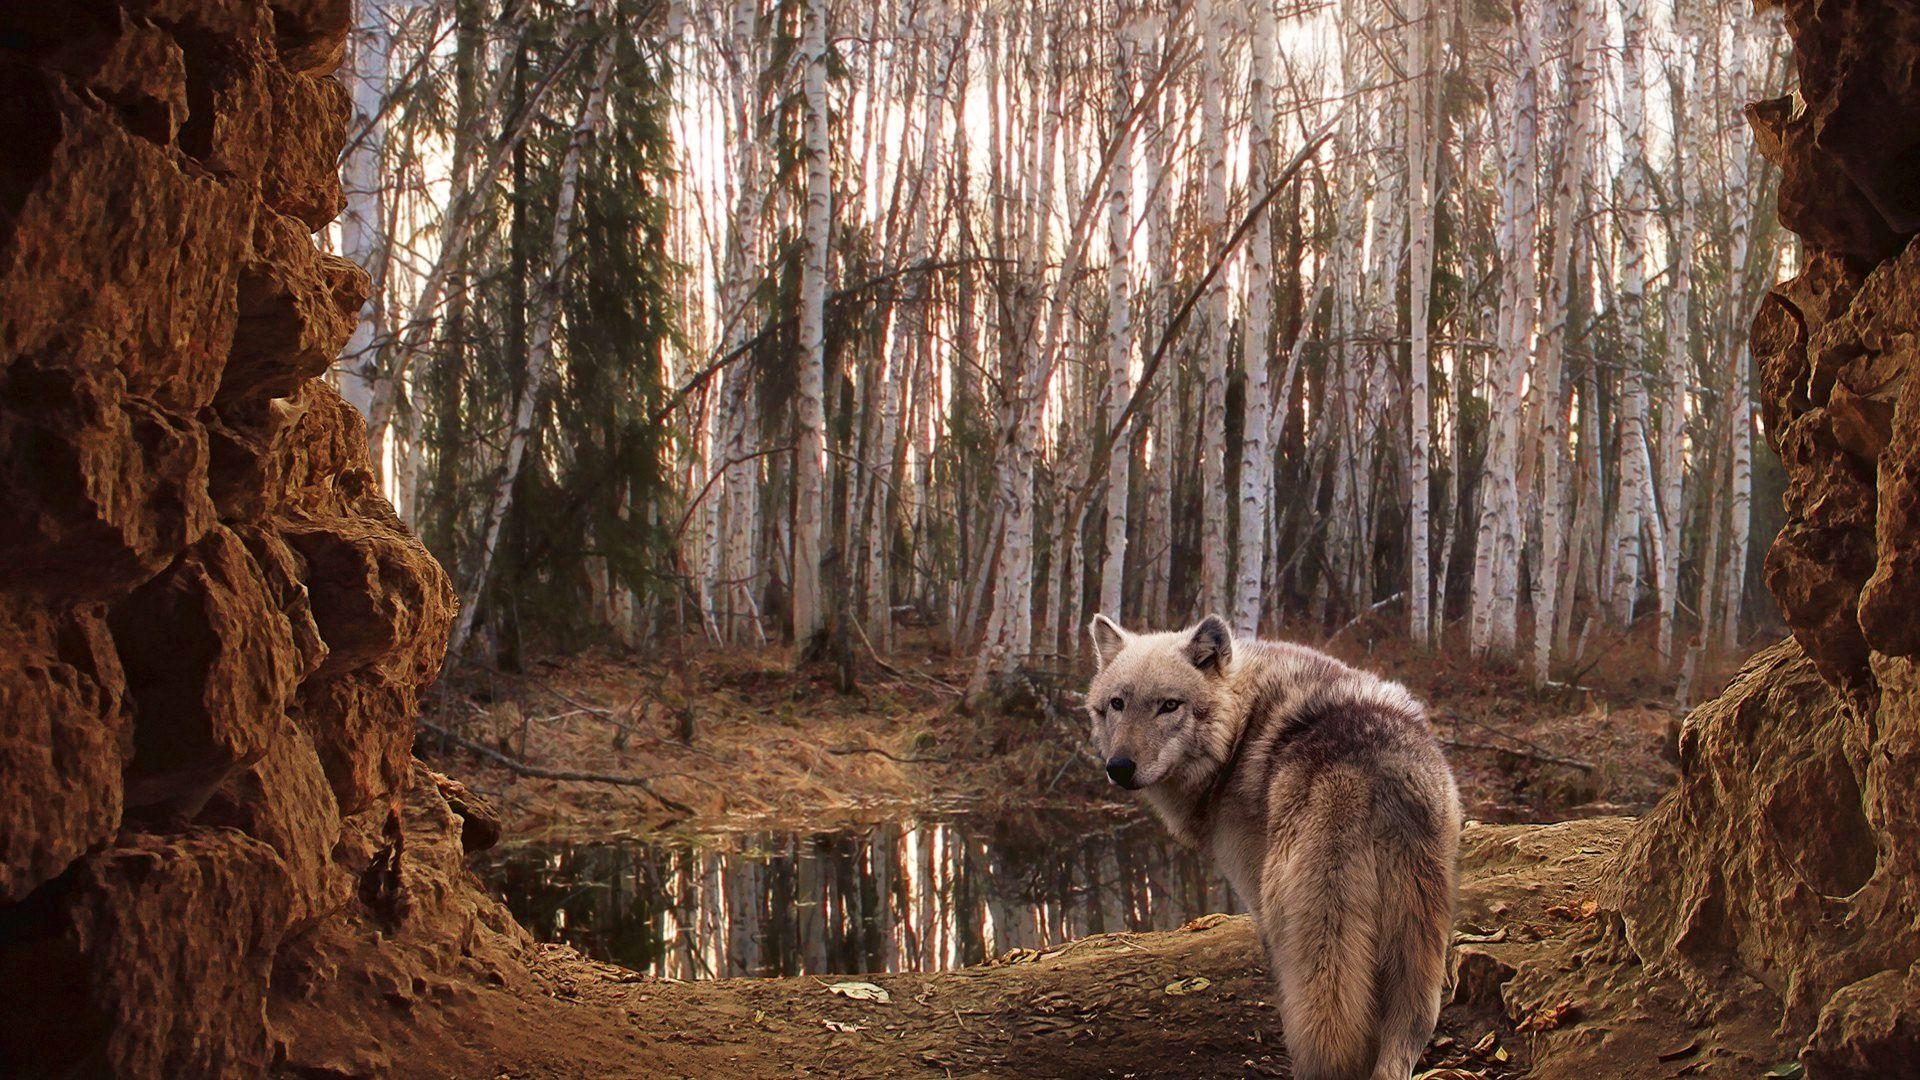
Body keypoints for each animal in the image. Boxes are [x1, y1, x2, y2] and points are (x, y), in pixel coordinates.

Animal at [1084, 613, 1461, 1080]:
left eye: (1169, 705)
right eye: (1117, 703)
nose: (1119, 767)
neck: (1240, 731)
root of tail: (1363, 771)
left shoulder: (1256, 899)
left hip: (1299, 921)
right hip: (1418, 941)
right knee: (1407, 1032)